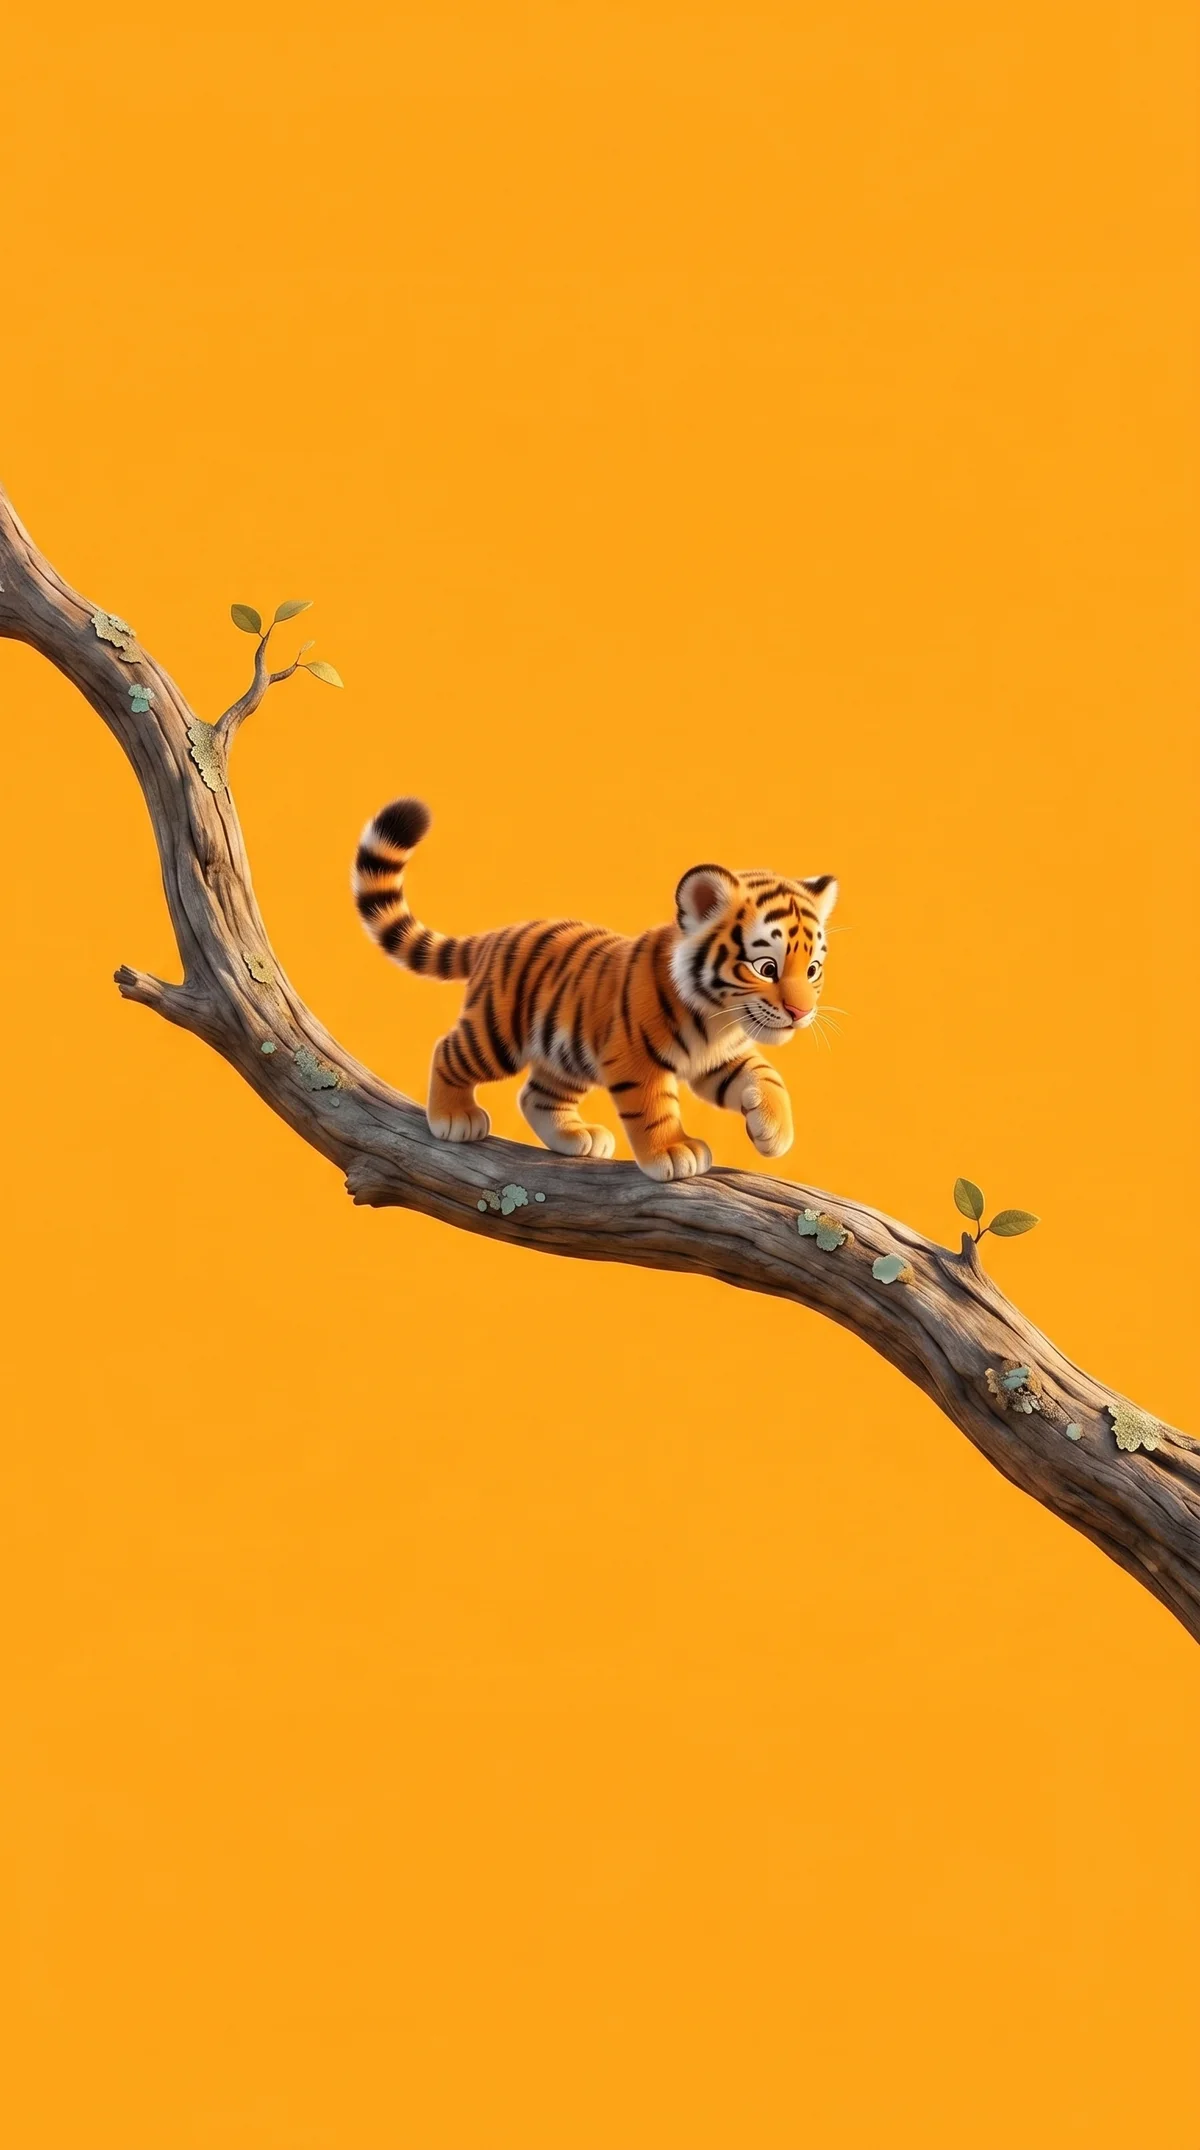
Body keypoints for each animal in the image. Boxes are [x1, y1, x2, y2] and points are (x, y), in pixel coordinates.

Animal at [352, 797, 837, 1182]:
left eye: (813, 968)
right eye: (767, 967)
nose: (800, 1013)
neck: (719, 1017)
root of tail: (495, 935)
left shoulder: (718, 1058)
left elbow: (766, 1074)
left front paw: (774, 1132)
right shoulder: (636, 1058)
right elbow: (655, 1107)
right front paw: (673, 1152)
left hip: (565, 1052)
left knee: (536, 1095)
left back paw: (577, 1136)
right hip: (496, 1033)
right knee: (448, 1051)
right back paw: (453, 1118)